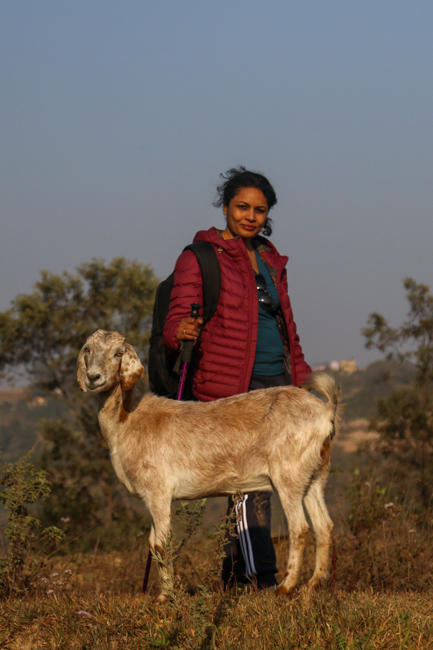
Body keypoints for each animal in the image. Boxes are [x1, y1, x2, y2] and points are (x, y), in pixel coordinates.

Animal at [77, 329, 341, 601]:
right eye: (88, 349)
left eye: (118, 353)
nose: (93, 377)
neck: (129, 418)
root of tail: (325, 412)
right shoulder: (152, 496)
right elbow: (153, 544)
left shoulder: (159, 490)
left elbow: (162, 543)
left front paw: (165, 597)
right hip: (313, 475)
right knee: (324, 525)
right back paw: (313, 584)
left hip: (288, 473)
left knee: (299, 528)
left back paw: (286, 586)